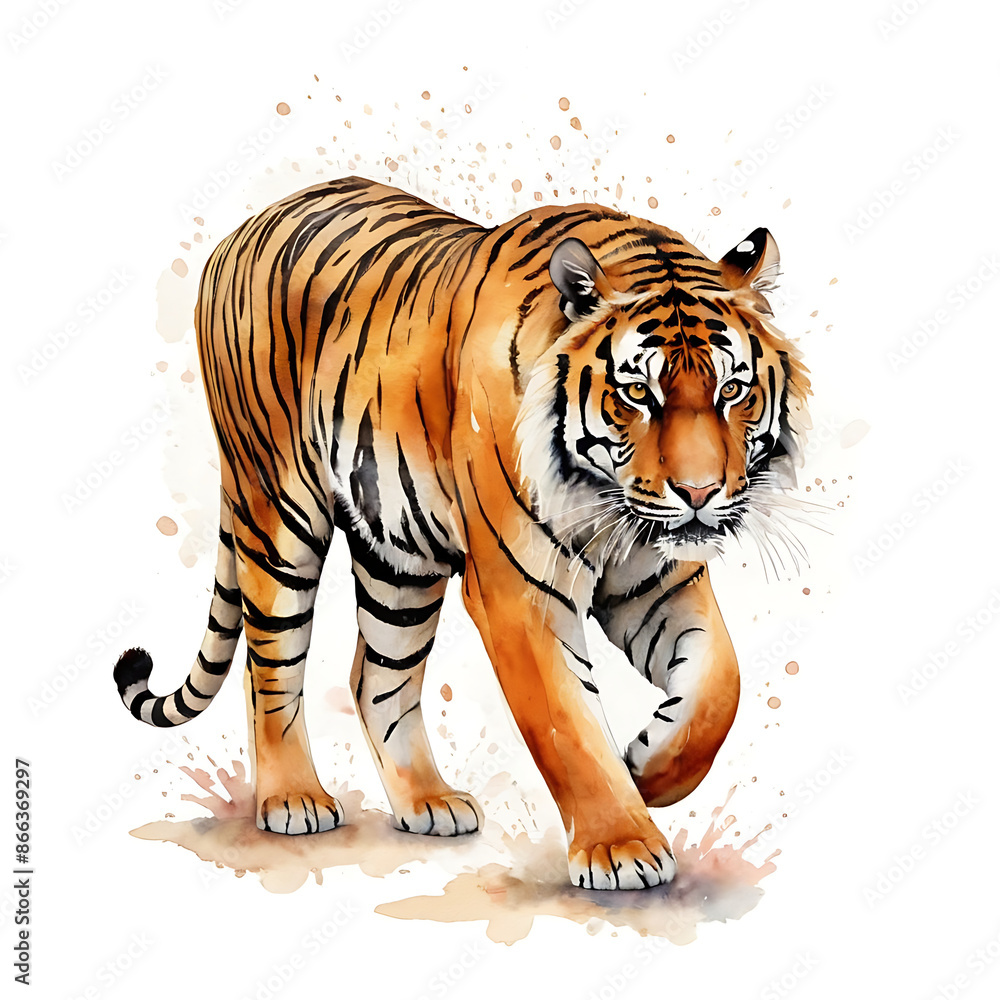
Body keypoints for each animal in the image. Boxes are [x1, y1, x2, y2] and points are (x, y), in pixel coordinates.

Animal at [115, 174, 809, 891]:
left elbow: (719, 684)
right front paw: (622, 846)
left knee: (376, 677)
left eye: (733, 390)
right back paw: (293, 799)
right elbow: (568, 723)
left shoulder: (659, 579)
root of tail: (243, 228)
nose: (700, 495)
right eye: (637, 394)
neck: (605, 502)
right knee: (271, 663)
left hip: (399, 557)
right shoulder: (520, 591)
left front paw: (648, 769)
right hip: (279, 507)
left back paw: (427, 802)